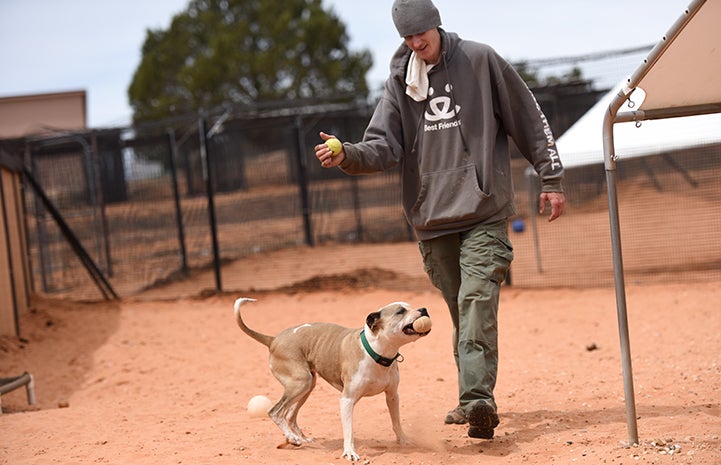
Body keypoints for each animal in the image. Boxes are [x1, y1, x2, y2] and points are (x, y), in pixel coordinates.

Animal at [233, 298, 430, 460]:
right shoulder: (347, 400)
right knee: (275, 412)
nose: (424, 309)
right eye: (400, 311)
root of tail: (274, 340)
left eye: (411, 306)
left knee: (289, 414)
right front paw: (349, 452)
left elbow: (396, 422)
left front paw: (403, 440)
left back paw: (299, 438)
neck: (376, 353)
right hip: (300, 382)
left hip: (307, 385)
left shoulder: (392, 396)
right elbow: (349, 431)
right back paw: (292, 438)